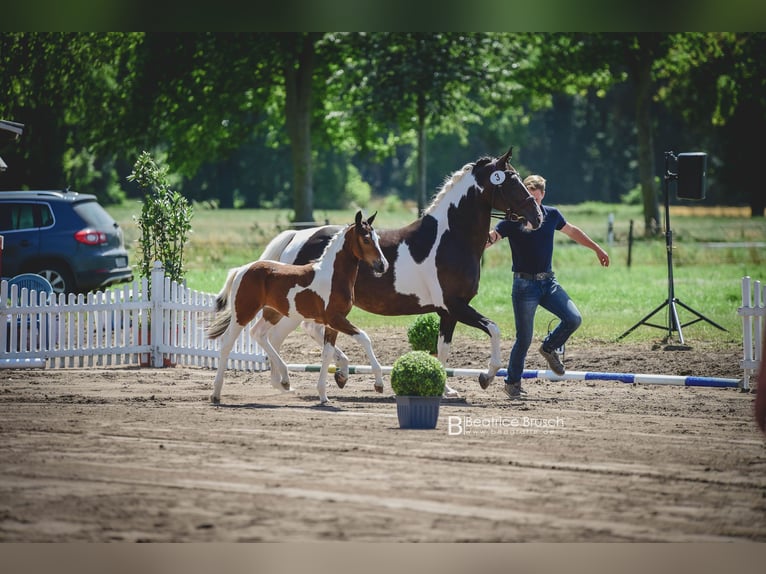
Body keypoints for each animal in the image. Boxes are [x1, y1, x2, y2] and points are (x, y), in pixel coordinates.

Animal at [206, 210, 389, 404]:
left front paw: (326, 393)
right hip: (243, 312)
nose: (382, 265)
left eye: (377, 238)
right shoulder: (336, 319)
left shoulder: (332, 323)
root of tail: (242, 269)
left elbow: (327, 353)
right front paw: (378, 384)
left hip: (273, 313)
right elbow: (364, 338)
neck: (333, 276)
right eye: (366, 239)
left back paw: (285, 381)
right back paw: (216, 393)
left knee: (259, 334)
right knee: (227, 342)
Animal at [256, 146, 543, 398]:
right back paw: (284, 380)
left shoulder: (448, 312)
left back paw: (336, 373)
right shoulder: (455, 305)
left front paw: (446, 388)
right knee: (272, 335)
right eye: (511, 180)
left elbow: (443, 349)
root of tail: (297, 236)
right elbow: (494, 329)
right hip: (294, 309)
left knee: (301, 332)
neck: (450, 238)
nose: (537, 215)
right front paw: (486, 377)